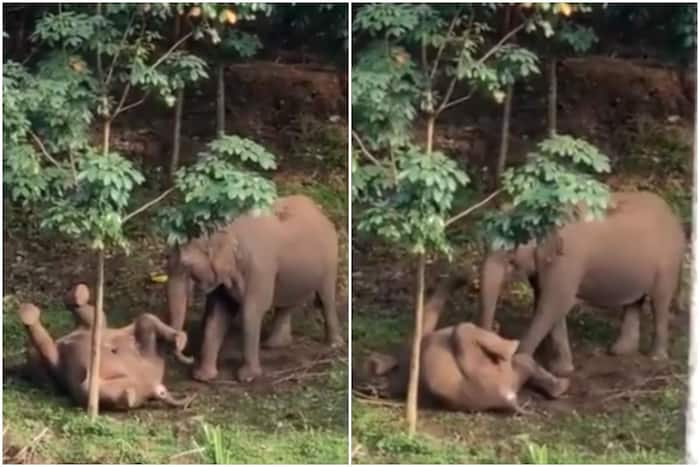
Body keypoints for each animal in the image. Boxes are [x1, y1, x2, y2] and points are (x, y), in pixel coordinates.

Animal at [166, 194, 342, 383]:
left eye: (186, 264)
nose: (189, 357)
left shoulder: (260, 268)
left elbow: (251, 311)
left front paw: (247, 377)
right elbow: (218, 312)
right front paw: (203, 377)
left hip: (331, 260)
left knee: (326, 299)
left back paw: (334, 344)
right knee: (286, 303)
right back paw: (274, 345)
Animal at [365, 277, 569, 412]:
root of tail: (507, 400)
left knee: (522, 363)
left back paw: (557, 387)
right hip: (487, 376)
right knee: (466, 330)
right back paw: (513, 346)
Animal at [478, 191, 686, 376]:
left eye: (510, 254)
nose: (495, 328)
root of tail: (671, 212)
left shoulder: (567, 260)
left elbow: (554, 303)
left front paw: (519, 363)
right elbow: (547, 302)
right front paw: (562, 370)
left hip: (668, 261)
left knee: (660, 302)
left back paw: (656, 358)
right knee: (635, 302)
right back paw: (619, 351)